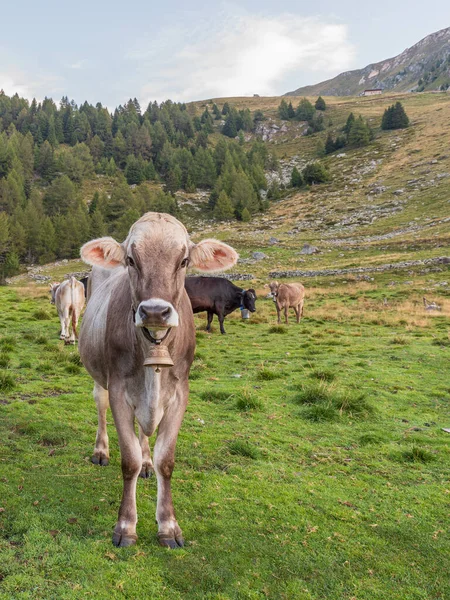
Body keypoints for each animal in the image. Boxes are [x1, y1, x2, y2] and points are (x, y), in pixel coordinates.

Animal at [77, 211, 239, 548]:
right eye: (130, 259)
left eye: (184, 260)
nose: (154, 311)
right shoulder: (119, 390)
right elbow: (128, 461)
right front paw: (126, 525)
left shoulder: (180, 394)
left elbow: (166, 460)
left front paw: (168, 525)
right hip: (99, 375)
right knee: (99, 404)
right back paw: (101, 451)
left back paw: (147, 463)